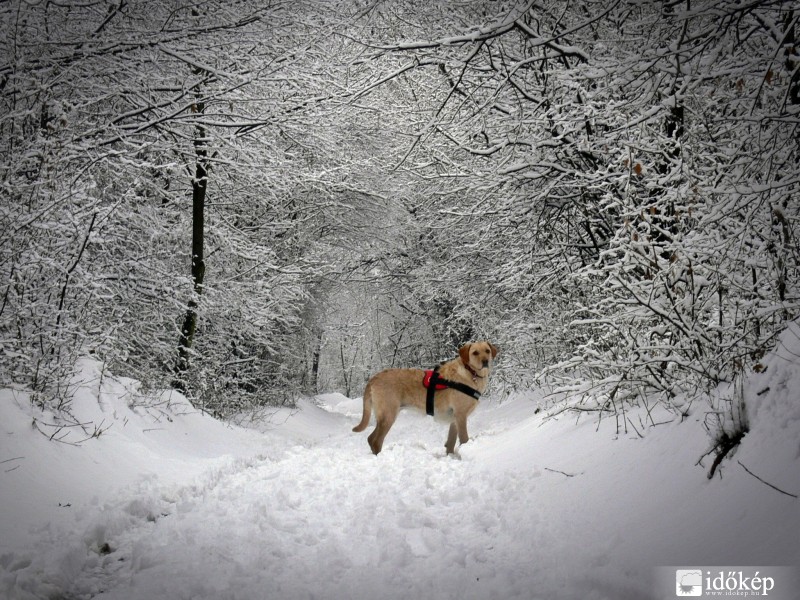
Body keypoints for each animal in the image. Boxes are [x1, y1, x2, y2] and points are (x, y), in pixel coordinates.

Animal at [352, 342, 496, 454]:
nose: (485, 361)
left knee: (370, 438)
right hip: (388, 415)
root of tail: (374, 378)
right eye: (475, 353)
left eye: (487, 351)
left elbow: (450, 443)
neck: (470, 372)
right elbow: (464, 439)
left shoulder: (454, 419)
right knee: (375, 440)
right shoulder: (461, 416)